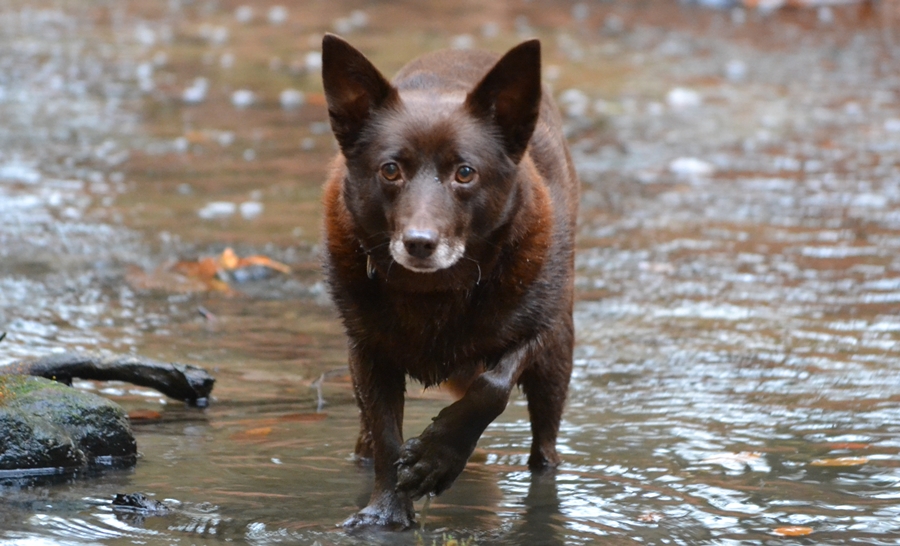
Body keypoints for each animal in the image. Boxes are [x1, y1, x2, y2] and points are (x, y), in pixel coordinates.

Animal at [322, 34, 576, 528]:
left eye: (465, 172)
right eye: (390, 169)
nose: (420, 243)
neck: (433, 293)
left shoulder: (539, 329)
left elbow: (490, 388)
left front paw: (434, 460)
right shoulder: (367, 352)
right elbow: (386, 434)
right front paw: (385, 512)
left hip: (558, 359)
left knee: (545, 446)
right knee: (366, 440)